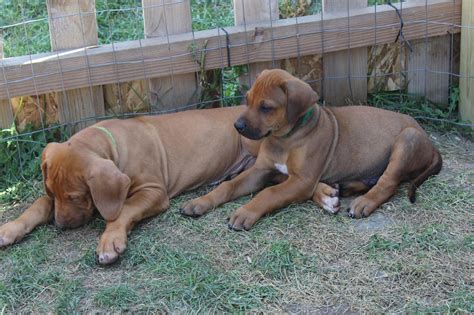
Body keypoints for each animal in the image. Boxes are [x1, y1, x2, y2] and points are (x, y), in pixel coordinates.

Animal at [0, 107, 336, 266]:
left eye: (75, 196)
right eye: (52, 191)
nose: (59, 226)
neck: (112, 145)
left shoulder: (153, 192)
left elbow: (122, 211)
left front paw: (109, 242)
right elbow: (35, 207)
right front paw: (10, 229)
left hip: (259, 154)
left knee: (297, 180)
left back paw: (326, 195)